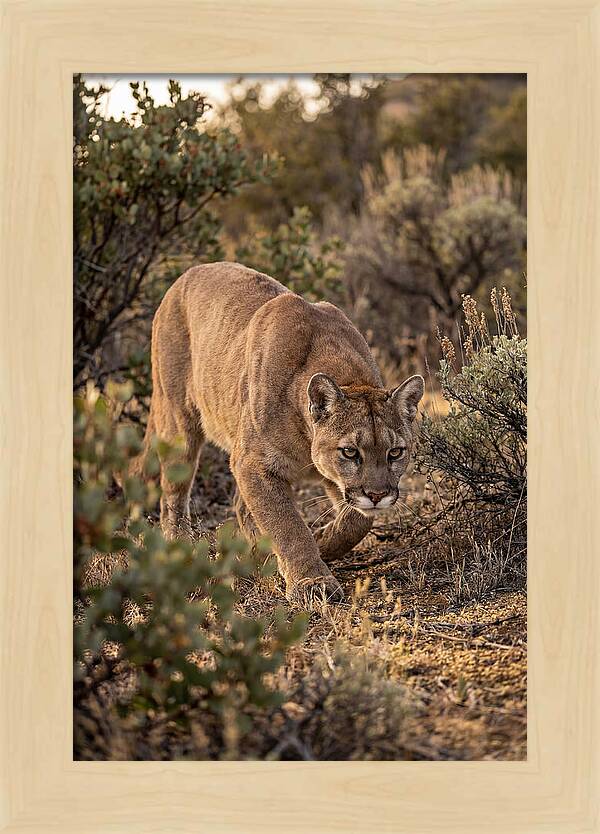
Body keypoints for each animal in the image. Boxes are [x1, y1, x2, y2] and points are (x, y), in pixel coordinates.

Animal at [134, 262, 424, 602]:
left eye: (395, 452)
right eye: (350, 452)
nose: (377, 495)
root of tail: (187, 273)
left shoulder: (327, 477)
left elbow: (357, 520)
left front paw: (322, 541)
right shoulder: (254, 463)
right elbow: (287, 524)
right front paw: (312, 581)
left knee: (240, 506)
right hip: (179, 422)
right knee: (173, 495)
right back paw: (181, 545)